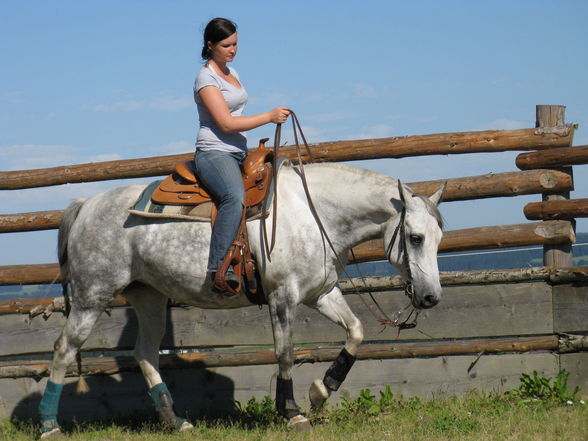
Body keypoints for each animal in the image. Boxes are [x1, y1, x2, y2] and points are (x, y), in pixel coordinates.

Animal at [39, 162, 444, 436]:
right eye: (415, 237)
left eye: (439, 237)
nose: (430, 297)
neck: (314, 214)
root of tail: (85, 205)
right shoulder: (283, 297)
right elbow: (285, 353)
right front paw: (292, 412)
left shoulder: (321, 293)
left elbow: (356, 331)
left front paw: (320, 392)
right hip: (93, 295)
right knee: (64, 348)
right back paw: (48, 424)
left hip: (148, 296)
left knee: (145, 353)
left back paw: (176, 420)